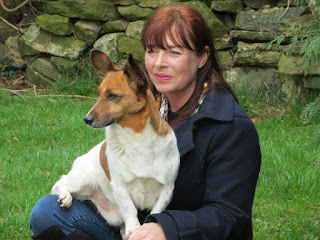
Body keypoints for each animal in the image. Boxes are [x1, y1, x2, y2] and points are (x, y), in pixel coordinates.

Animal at [50, 49, 180, 239]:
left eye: (112, 96)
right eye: (98, 94)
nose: (87, 119)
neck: (135, 137)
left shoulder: (167, 189)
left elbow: (155, 213)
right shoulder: (120, 186)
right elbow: (130, 208)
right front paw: (134, 228)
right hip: (81, 179)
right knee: (60, 183)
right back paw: (65, 197)